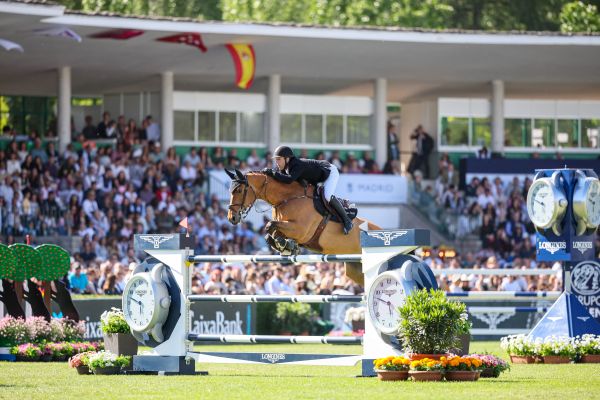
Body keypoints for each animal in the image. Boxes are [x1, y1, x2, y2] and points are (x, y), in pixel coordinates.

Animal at [225, 168, 380, 284]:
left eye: (239, 190)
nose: (232, 218)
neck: (288, 198)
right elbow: (270, 233)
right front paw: (286, 246)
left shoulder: (301, 230)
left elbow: (270, 225)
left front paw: (285, 244)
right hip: (355, 269)